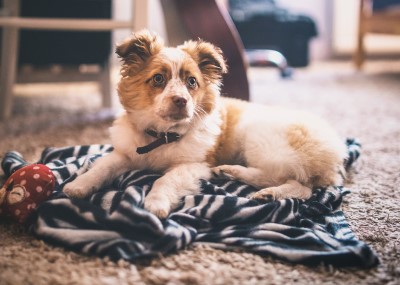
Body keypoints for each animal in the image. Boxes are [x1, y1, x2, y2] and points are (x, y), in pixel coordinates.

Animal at [62, 30, 346, 217]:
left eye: (192, 82)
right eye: (158, 79)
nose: (181, 101)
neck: (160, 137)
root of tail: (336, 149)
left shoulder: (195, 165)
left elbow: (166, 180)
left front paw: (156, 203)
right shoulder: (126, 153)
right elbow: (102, 166)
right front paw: (78, 186)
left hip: (262, 141)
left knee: (296, 184)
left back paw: (254, 184)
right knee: (300, 186)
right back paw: (240, 177)